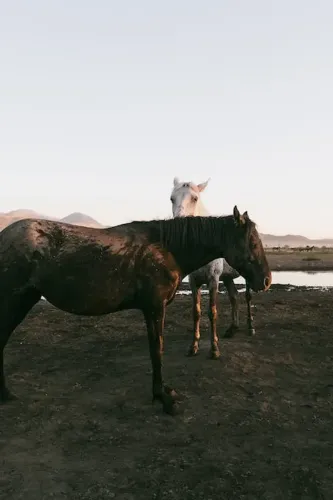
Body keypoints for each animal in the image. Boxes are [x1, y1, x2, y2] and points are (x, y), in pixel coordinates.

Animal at [0, 206, 270, 414]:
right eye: (252, 242)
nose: (266, 281)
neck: (167, 249)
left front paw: (163, 392)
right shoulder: (154, 308)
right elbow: (156, 351)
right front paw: (163, 398)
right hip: (14, 303)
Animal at [171, 178, 254, 358]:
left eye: (195, 198)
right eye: (172, 198)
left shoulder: (213, 280)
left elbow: (212, 312)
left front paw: (214, 348)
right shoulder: (194, 281)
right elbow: (196, 312)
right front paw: (193, 346)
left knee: (247, 297)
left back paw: (251, 327)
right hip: (228, 278)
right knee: (234, 297)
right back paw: (232, 328)